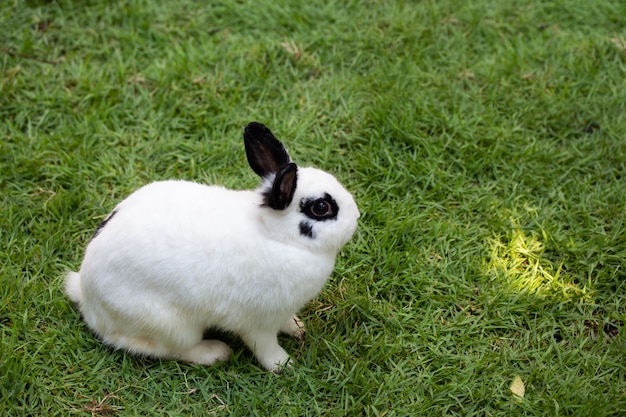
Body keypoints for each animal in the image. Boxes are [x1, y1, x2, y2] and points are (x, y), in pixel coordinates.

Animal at [65, 121, 358, 370]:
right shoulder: (258, 322)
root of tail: (86, 294)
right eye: (321, 207)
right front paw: (283, 365)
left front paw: (297, 327)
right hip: (171, 325)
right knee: (167, 349)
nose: (356, 216)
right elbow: (264, 346)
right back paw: (216, 352)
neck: (276, 236)